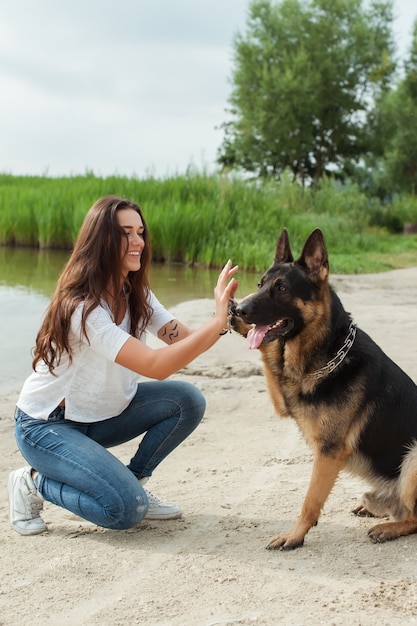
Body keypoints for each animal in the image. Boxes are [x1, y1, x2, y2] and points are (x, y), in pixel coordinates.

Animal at [229, 228, 416, 544]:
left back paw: (389, 529)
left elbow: (311, 500)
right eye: (259, 284)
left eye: (282, 288)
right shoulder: (285, 397)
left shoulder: (328, 452)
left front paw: (294, 535)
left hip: (413, 456)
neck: (328, 352)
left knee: (414, 518)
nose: (239, 309)